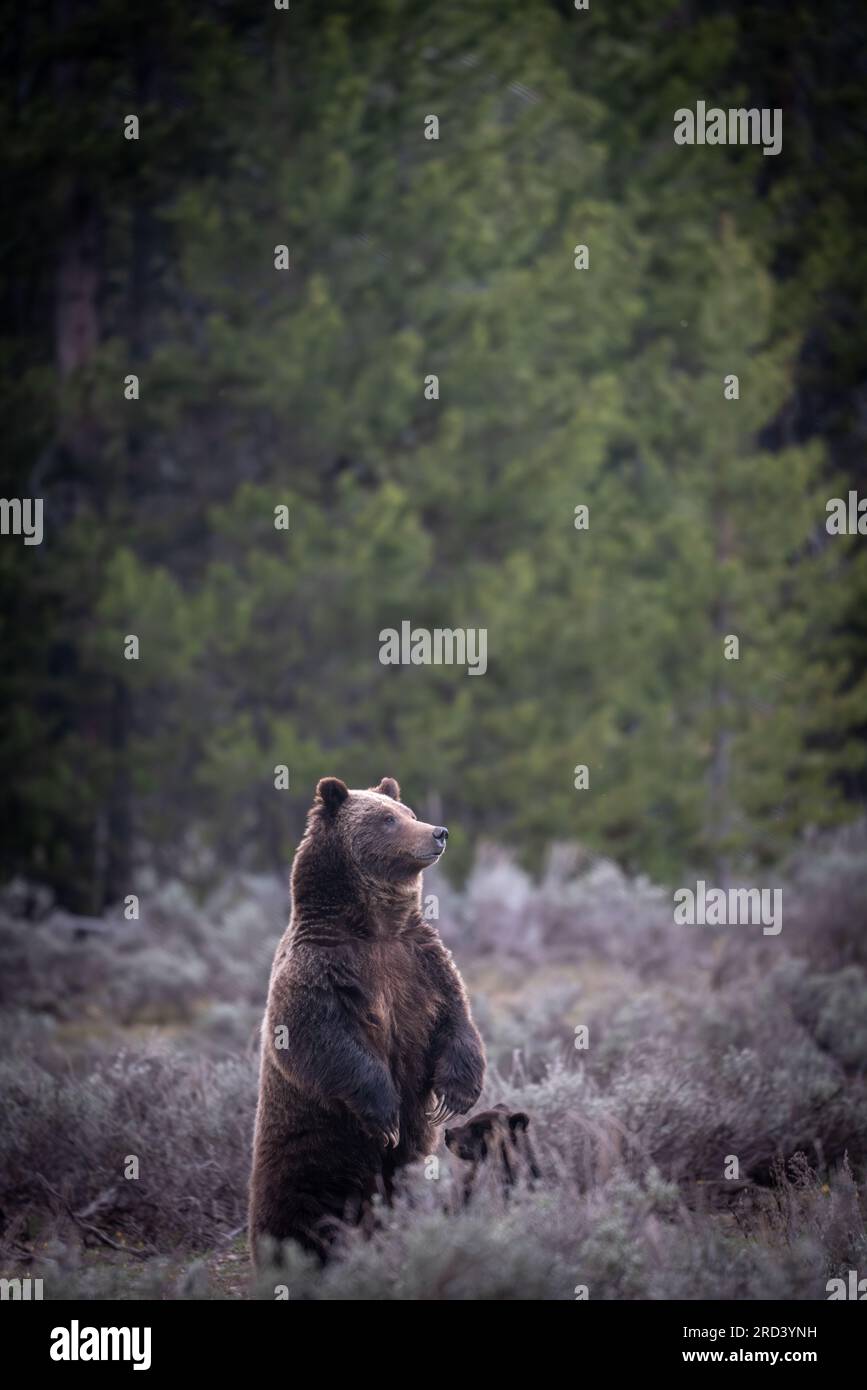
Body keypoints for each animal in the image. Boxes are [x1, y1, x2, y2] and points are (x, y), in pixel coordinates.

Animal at [247, 778, 483, 1267]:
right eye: (387, 819)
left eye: (407, 811)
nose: (438, 832)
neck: (376, 929)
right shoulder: (319, 970)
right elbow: (320, 1040)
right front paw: (385, 1112)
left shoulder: (422, 962)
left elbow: (456, 1020)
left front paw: (455, 1094)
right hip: (307, 1145)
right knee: (293, 1202)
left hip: (399, 1164)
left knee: (399, 1185)